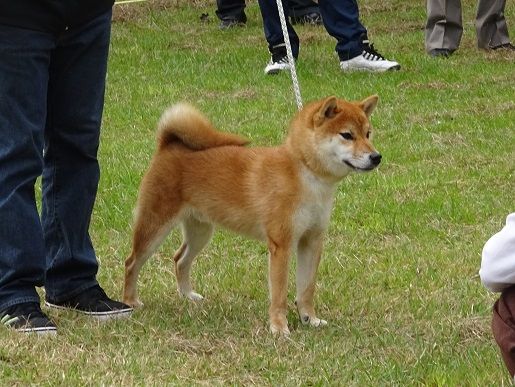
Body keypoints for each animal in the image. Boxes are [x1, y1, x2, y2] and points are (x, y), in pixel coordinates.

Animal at [124, 95, 382, 334]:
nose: (376, 157)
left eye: (368, 134)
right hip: (155, 227)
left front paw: (310, 319)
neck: (306, 174)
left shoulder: (312, 240)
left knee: (180, 259)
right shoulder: (281, 245)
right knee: (132, 262)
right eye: (347, 135)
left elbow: (307, 289)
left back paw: (188, 295)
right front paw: (279, 328)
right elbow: (279, 294)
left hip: (201, 231)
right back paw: (130, 301)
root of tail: (168, 144)